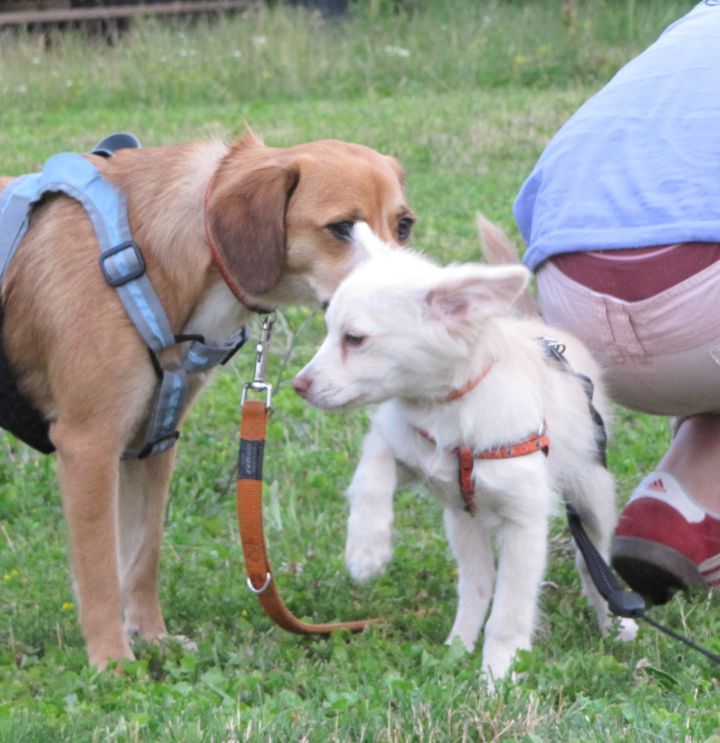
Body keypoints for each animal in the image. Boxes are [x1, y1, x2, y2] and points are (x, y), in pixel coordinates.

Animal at [0, 129, 414, 668]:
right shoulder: (89, 444)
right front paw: (112, 661)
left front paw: (152, 637)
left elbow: (142, 553)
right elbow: (99, 571)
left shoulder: (153, 441)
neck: (150, 252)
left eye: (403, 225)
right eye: (341, 227)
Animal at [292, 224, 636, 684]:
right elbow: (370, 475)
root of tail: (537, 323)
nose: (298, 385)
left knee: (590, 561)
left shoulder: (525, 522)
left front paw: (500, 673)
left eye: (355, 339)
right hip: (461, 521)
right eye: (329, 330)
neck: (447, 409)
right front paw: (367, 550)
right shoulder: (402, 445)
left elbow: (510, 611)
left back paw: (615, 621)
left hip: (591, 491)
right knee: (478, 582)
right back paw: (458, 644)